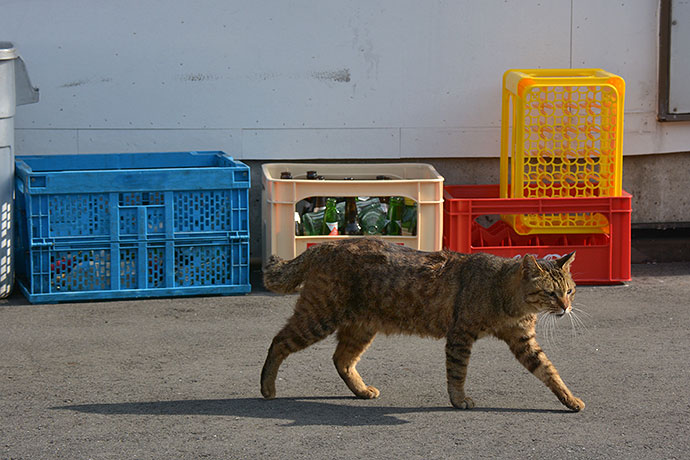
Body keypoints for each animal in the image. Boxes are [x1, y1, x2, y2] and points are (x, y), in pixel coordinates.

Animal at [260, 237, 584, 410]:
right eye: (550, 293)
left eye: (569, 291)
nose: (566, 308)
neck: (505, 293)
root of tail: (325, 245)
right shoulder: (460, 336)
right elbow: (457, 373)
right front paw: (459, 399)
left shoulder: (523, 340)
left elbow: (549, 371)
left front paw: (569, 399)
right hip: (318, 317)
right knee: (278, 342)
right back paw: (267, 387)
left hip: (360, 327)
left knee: (341, 360)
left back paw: (361, 390)